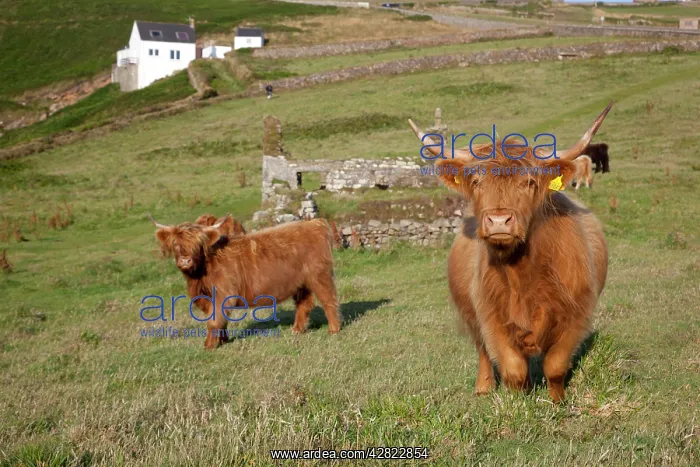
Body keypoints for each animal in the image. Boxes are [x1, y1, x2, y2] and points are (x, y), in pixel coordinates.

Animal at [150, 215, 341, 349]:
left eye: (198, 244)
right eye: (175, 244)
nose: (185, 261)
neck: (199, 276)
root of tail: (316, 223)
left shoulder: (223, 293)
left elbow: (214, 319)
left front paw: (209, 345)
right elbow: (221, 320)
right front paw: (223, 340)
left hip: (320, 276)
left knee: (329, 300)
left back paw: (334, 329)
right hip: (301, 283)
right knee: (304, 304)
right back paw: (297, 330)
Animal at [408, 102, 613, 402]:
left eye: (529, 182)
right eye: (477, 182)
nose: (498, 220)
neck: (523, 274)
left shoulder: (576, 314)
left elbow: (555, 366)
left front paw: (557, 402)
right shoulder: (492, 316)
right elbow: (513, 369)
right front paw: (519, 402)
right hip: (471, 315)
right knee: (482, 350)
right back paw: (483, 387)